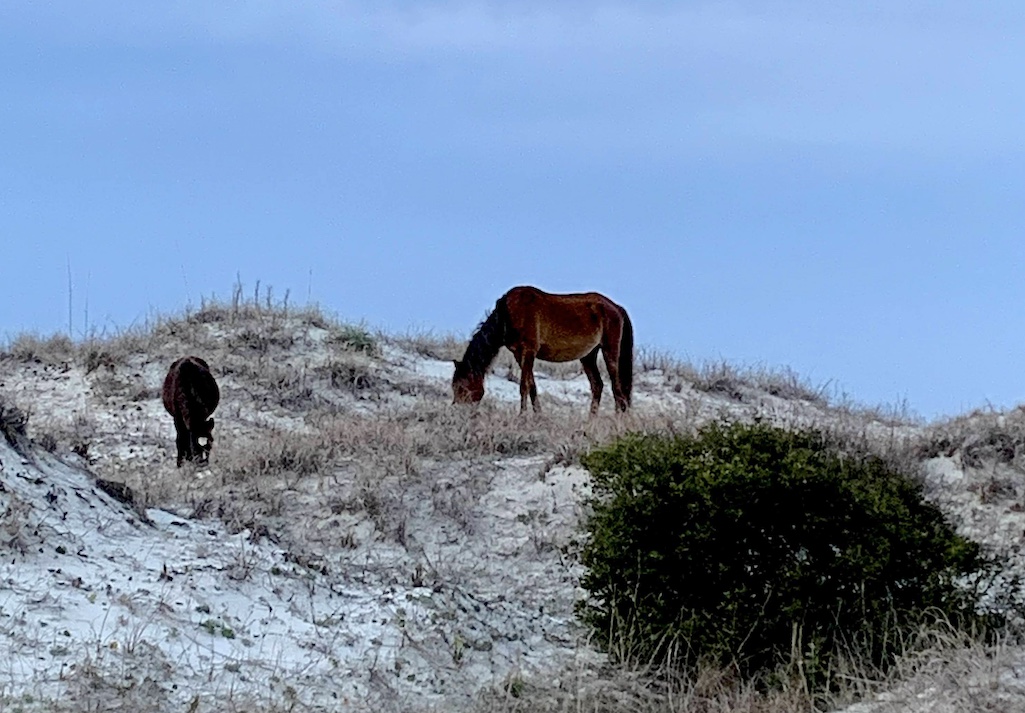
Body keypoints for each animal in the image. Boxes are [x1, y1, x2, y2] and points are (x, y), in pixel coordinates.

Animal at [452, 286, 634, 414]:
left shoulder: (529, 351)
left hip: (609, 350)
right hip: (588, 355)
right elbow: (532, 386)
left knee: (616, 388)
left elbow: (524, 386)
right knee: (597, 386)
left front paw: (522, 417)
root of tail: (616, 307)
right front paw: (539, 417)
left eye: (461, 387)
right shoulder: (519, 354)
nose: (458, 412)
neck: (508, 315)